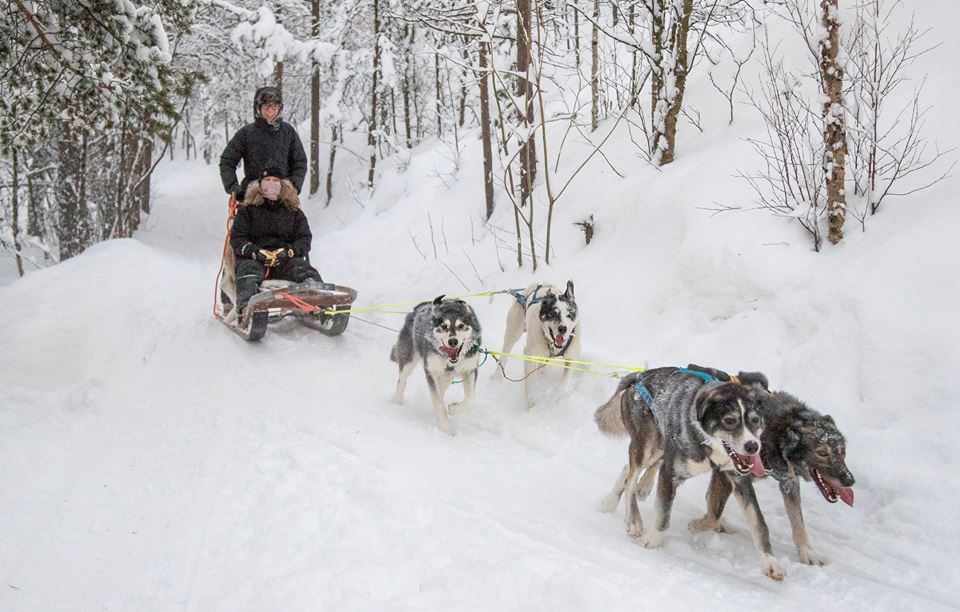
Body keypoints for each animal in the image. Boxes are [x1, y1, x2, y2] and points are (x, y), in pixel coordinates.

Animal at [388, 296, 480, 436]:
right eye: (444, 326)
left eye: (461, 326)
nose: (453, 341)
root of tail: (417, 308)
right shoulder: (431, 372)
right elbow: (438, 402)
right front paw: (445, 429)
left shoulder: (470, 369)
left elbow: (470, 400)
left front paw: (454, 409)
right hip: (409, 360)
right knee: (402, 380)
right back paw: (396, 401)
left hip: (447, 376)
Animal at [592, 366, 788, 580]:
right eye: (729, 421)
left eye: (755, 420)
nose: (753, 446)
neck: (707, 441)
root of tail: (638, 377)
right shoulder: (670, 474)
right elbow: (663, 513)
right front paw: (653, 541)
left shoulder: (740, 480)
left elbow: (758, 523)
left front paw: (771, 562)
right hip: (647, 446)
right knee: (631, 479)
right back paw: (633, 519)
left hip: (659, 447)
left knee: (629, 469)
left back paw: (616, 499)